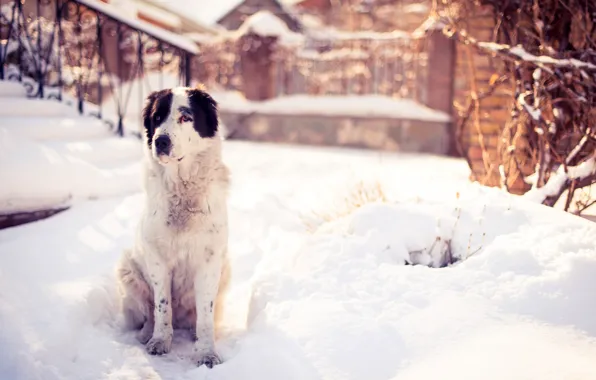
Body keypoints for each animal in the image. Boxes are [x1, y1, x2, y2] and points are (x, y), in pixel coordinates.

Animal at [116, 86, 230, 368]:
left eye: (185, 117)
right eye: (157, 118)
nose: (161, 141)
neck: (183, 190)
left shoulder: (210, 260)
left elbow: (205, 313)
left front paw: (206, 353)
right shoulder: (157, 259)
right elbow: (161, 304)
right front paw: (159, 341)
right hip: (127, 268)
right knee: (148, 311)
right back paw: (147, 333)